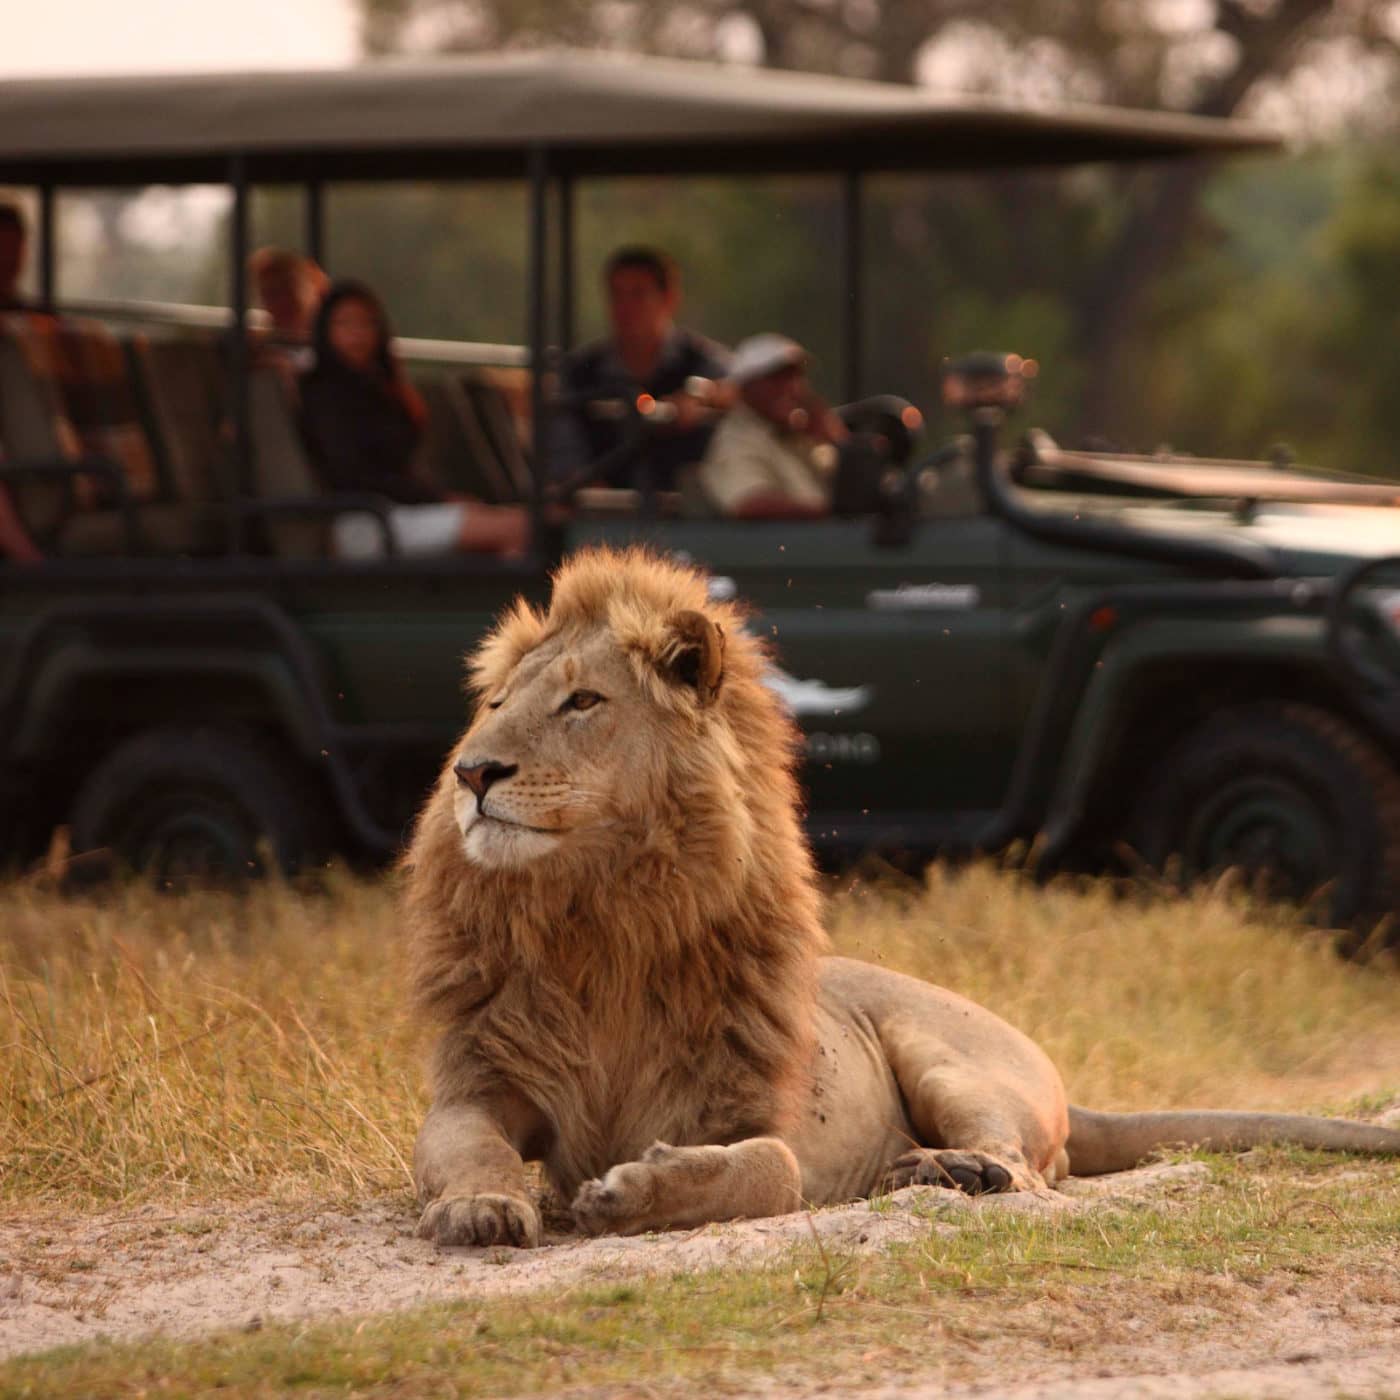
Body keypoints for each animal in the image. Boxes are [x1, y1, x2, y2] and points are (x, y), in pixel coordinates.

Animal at [403, 546, 1400, 1247]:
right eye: (495, 703)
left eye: (583, 703)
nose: (472, 772)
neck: (600, 917)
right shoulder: (479, 1086)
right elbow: (469, 1147)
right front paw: (482, 1208)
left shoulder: (747, 1116)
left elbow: (766, 1168)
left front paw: (628, 1191)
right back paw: (916, 1174)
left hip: (947, 1055)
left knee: (1031, 1171)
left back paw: (949, 1171)